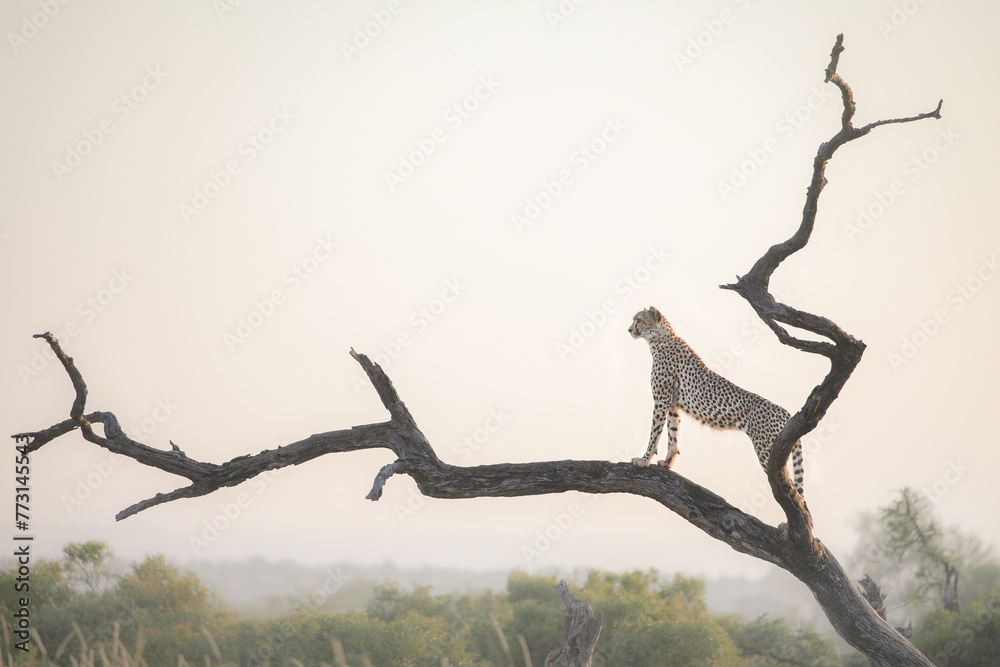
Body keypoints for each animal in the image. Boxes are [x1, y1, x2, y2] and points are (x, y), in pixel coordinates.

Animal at [632, 306, 804, 496]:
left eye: (639, 320)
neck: (660, 340)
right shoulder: (673, 404)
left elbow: (655, 433)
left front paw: (643, 460)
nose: (629, 330)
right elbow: (673, 434)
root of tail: (785, 412)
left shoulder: (662, 399)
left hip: (768, 451)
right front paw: (667, 462)